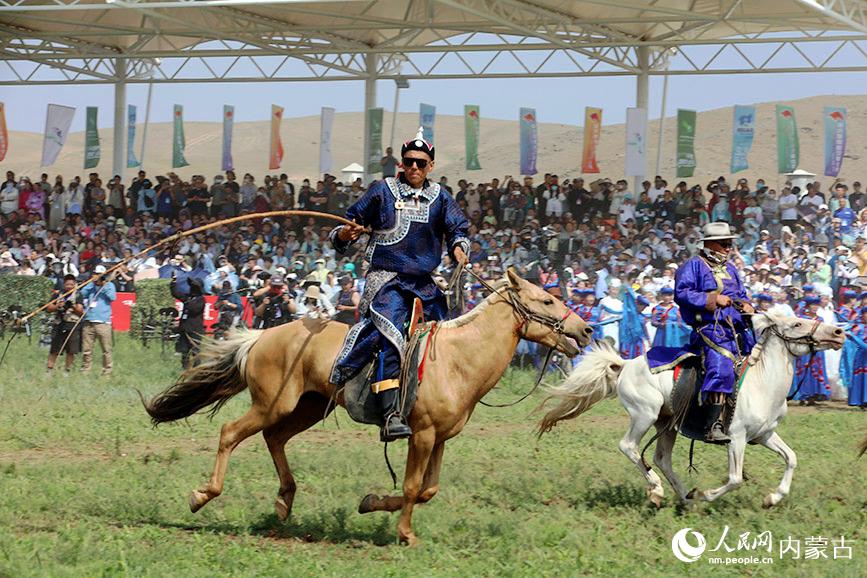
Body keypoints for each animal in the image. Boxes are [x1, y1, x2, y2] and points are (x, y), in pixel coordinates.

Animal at [144, 270, 588, 544]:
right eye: (546, 300)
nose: (584, 330)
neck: (456, 357)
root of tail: (262, 336)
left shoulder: (441, 438)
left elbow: (428, 489)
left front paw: (371, 503)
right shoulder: (420, 434)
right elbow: (411, 486)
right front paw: (405, 533)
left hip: (306, 408)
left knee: (275, 438)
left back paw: (285, 500)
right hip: (272, 403)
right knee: (231, 433)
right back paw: (203, 495)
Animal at [540, 312, 844, 506]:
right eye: (797, 323)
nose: (839, 332)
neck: (762, 383)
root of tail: (625, 364)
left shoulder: (765, 434)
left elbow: (791, 458)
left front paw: (772, 498)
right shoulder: (737, 438)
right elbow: (735, 479)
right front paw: (704, 496)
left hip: (666, 423)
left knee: (662, 458)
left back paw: (683, 496)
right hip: (644, 414)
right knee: (629, 447)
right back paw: (658, 490)